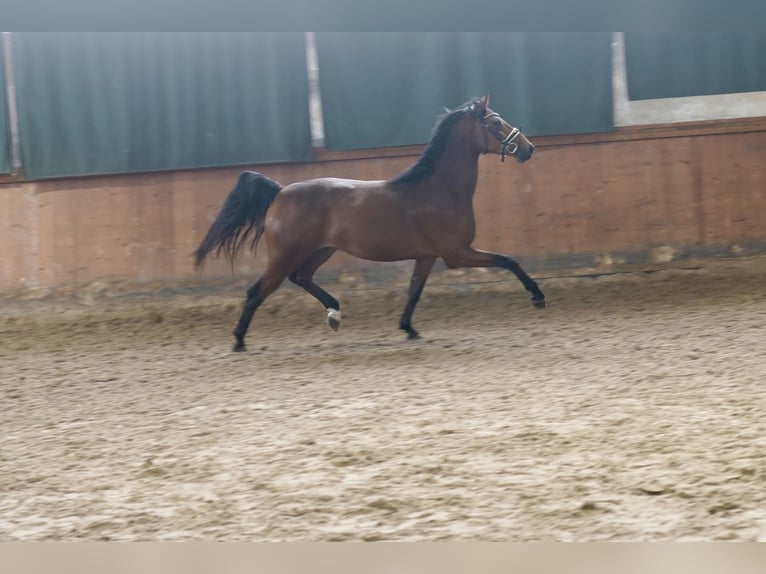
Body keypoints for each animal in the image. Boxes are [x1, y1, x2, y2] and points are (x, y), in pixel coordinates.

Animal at [194, 94, 546, 352]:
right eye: (496, 122)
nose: (528, 149)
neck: (439, 189)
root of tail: (280, 192)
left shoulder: (427, 255)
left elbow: (414, 291)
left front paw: (409, 329)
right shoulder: (456, 253)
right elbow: (508, 260)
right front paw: (537, 296)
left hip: (321, 250)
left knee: (301, 277)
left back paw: (334, 312)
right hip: (284, 256)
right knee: (257, 291)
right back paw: (239, 341)